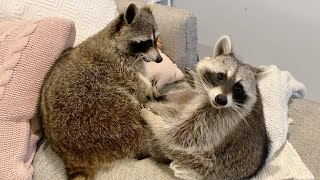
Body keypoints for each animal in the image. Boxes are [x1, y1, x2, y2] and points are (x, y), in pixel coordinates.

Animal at [38, 3, 161, 180]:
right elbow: (134, 84)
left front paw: (151, 87)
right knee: (125, 109)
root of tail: (72, 156)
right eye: (145, 42)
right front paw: (148, 89)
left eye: (156, 40)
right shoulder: (112, 66)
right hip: (98, 111)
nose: (160, 59)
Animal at [141, 36, 268, 180]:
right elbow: (187, 96)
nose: (221, 99)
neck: (210, 100)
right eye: (220, 76)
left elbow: (178, 134)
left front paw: (149, 115)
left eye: (238, 88)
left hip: (205, 164)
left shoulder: (222, 120)